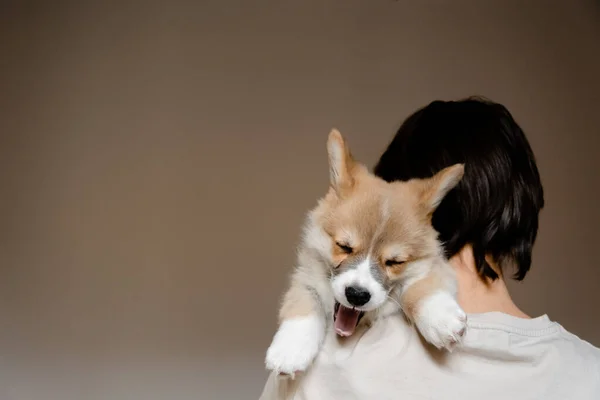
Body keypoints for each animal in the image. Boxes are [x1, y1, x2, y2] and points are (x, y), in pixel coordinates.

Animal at [264, 130, 466, 376]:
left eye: (394, 262)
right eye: (344, 247)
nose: (357, 295)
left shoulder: (435, 266)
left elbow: (418, 286)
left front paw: (439, 318)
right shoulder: (305, 275)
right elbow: (304, 301)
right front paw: (290, 348)